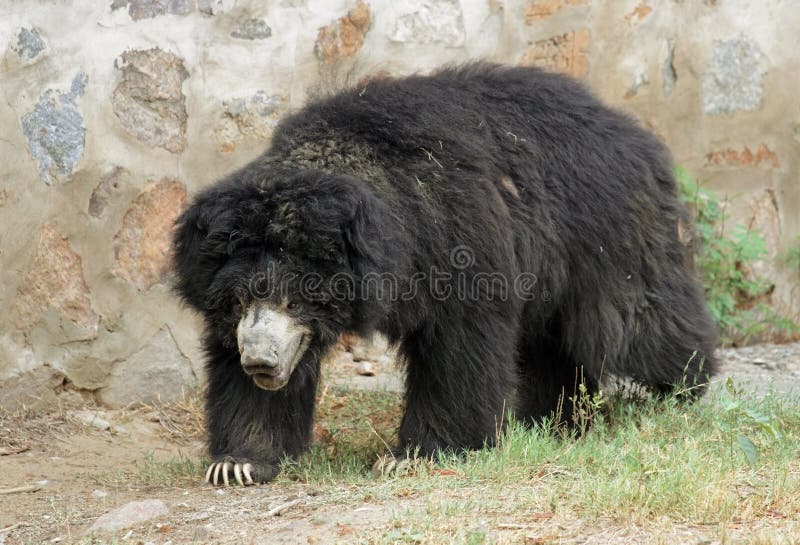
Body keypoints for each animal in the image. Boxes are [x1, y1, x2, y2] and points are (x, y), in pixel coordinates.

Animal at [173, 62, 720, 484]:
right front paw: (239, 463)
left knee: (638, 322)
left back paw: (679, 390)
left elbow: (461, 344)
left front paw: (413, 456)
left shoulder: (455, 234)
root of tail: (631, 129)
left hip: (607, 231)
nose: (260, 363)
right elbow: (238, 376)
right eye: (241, 301)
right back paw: (550, 419)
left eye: (294, 300)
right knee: (549, 341)